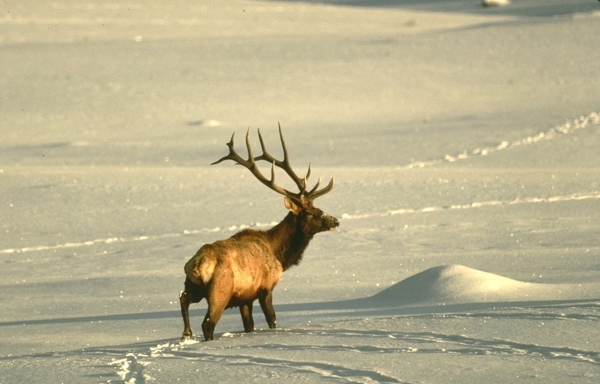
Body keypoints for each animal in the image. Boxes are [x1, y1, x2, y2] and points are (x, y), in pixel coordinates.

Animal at [178, 124, 338, 340]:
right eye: (310, 212)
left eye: (318, 208)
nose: (335, 220)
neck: (279, 254)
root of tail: (197, 264)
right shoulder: (266, 287)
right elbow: (272, 319)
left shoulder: (245, 298)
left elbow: (249, 325)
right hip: (220, 291)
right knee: (207, 323)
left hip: (193, 286)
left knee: (183, 298)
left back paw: (186, 333)